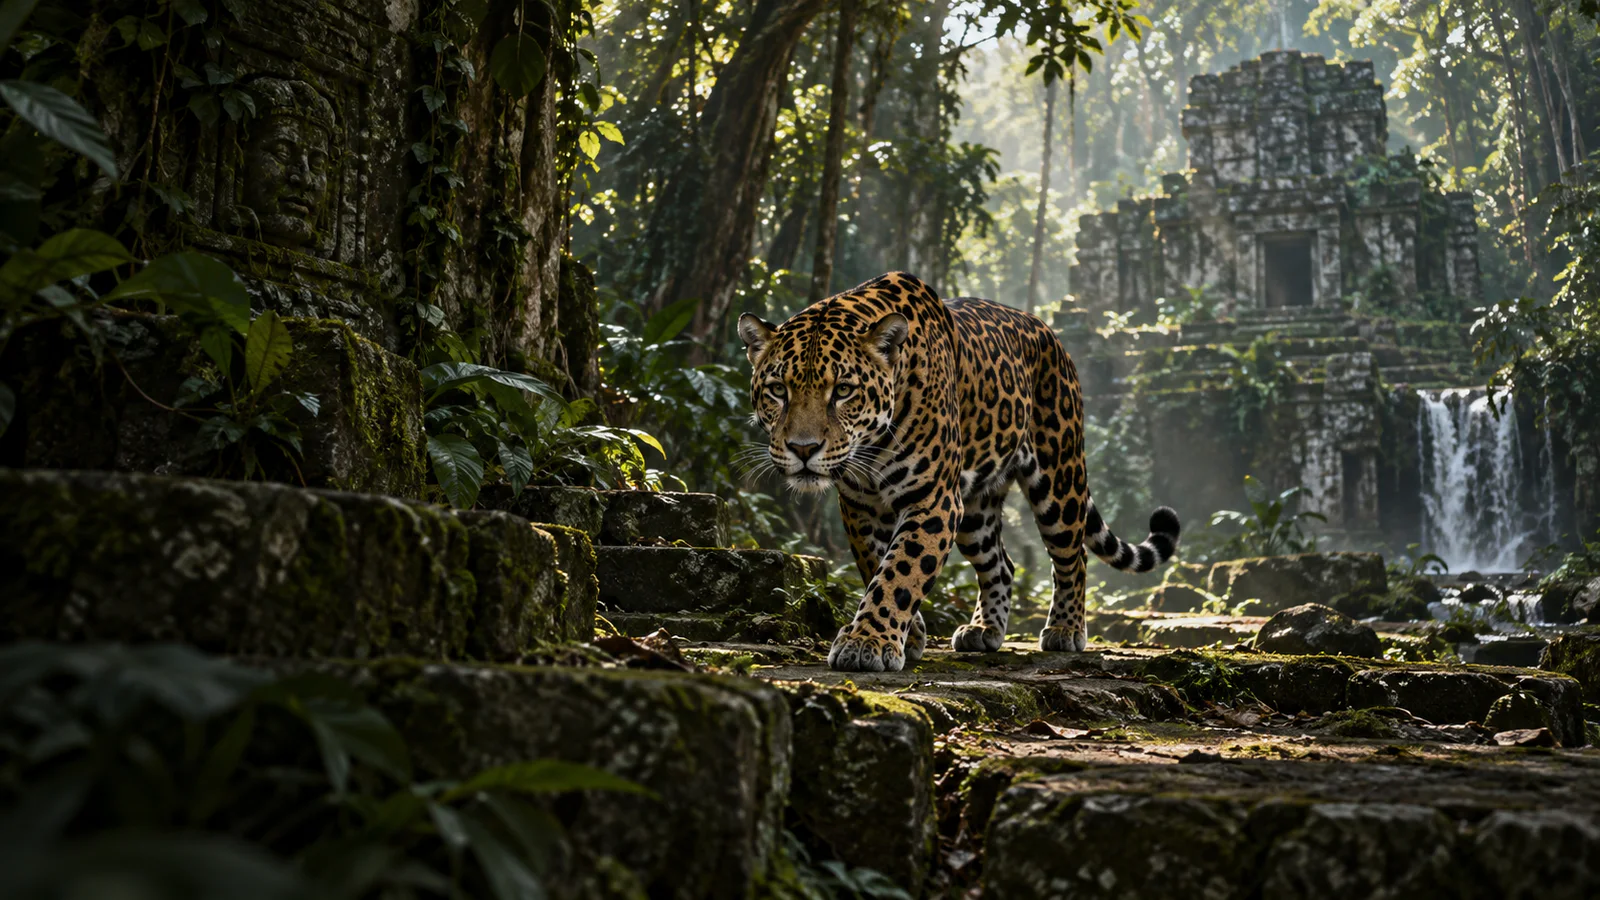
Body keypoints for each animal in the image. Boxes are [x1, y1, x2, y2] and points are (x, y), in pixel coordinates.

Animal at [739, 271, 1180, 672]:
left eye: (843, 391)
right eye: (778, 390)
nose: (803, 449)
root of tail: (1048, 332)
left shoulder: (933, 500)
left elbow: (900, 571)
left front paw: (868, 641)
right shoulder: (860, 505)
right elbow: (878, 565)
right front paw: (907, 635)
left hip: (1059, 478)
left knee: (1073, 556)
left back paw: (1065, 629)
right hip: (974, 509)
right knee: (1001, 564)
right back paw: (984, 629)